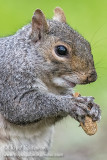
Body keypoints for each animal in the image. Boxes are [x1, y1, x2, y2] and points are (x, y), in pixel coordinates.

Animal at [0, 7, 101, 160]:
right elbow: (20, 107)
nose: (92, 77)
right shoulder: (9, 81)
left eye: (87, 44)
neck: (50, 84)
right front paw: (71, 104)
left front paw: (93, 107)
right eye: (61, 50)